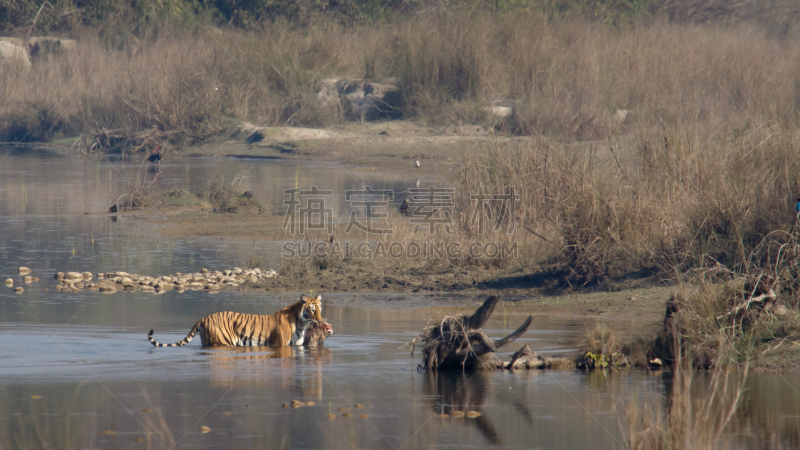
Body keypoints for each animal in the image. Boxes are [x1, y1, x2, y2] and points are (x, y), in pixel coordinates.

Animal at [148, 294, 324, 346]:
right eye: (312, 310)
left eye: (320, 309)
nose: (320, 321)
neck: (301, 324)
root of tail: (204, 318)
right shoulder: (279, 344)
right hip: (223, 341)